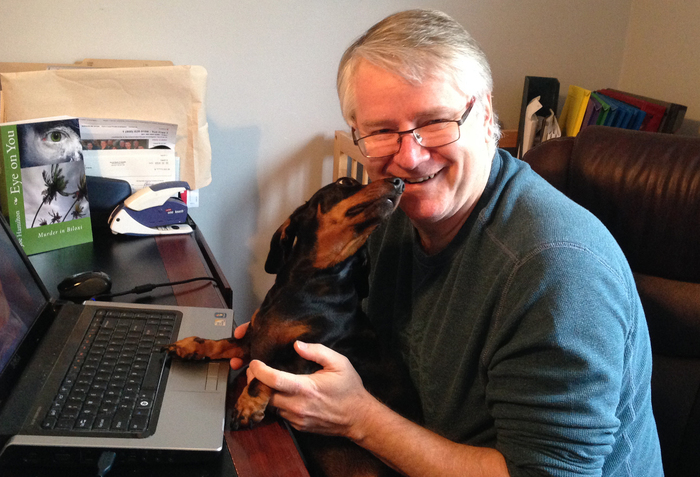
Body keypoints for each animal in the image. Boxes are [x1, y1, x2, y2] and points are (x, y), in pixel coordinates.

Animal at [165, 176, 420, 476]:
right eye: (345, 181)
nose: (400, 182)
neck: (305, 285)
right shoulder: (252, 340)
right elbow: (221, 344)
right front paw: (191, 345)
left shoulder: (305, 356)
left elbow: (266, 373)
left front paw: (247, 405)